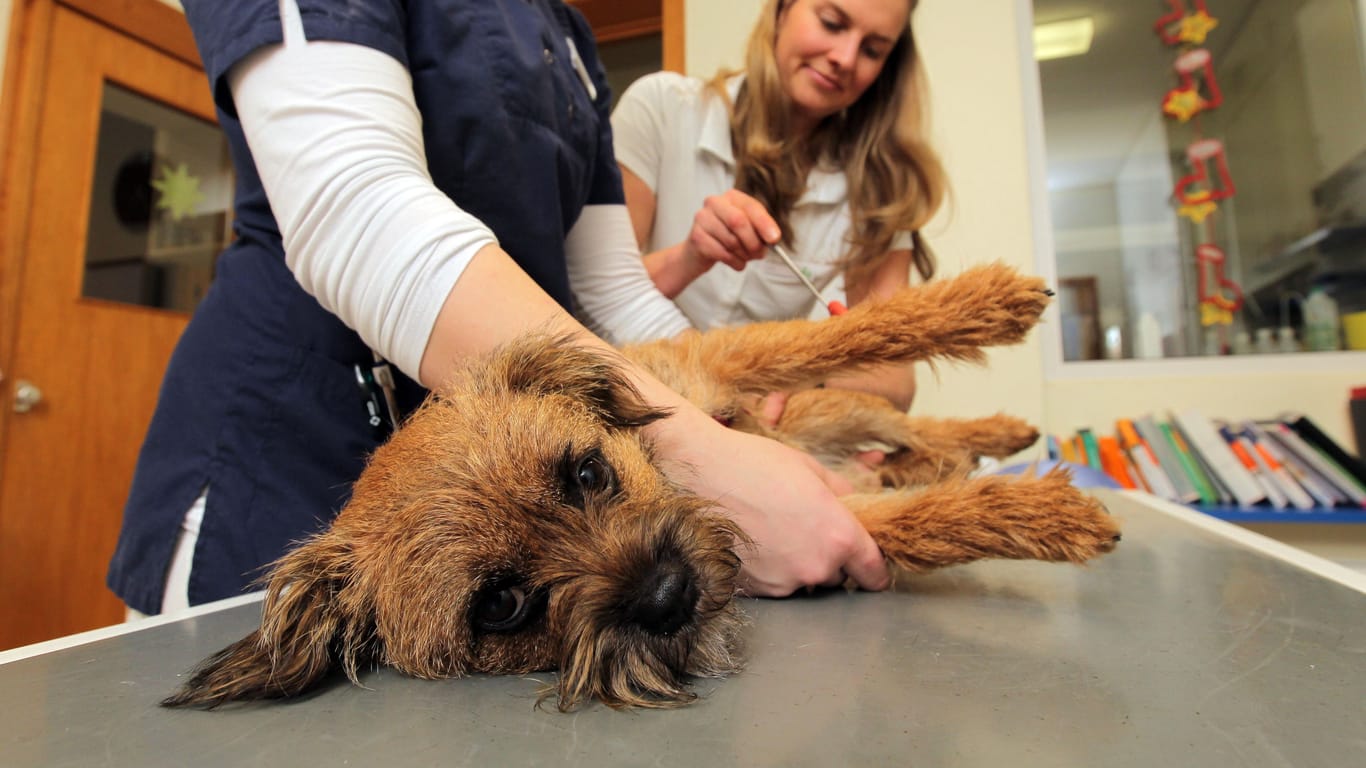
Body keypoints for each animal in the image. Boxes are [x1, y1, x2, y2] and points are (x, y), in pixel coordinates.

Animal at [159, 265, 1120, 710]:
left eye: (586, 471)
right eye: (500, 607)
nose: (667, 594)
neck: (679, 468)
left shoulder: (723, 359)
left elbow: (846, 331)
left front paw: (986, 301)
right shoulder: (834, 524)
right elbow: (927, 517)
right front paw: (1047, 510)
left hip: (832, 409)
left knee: (912, 429)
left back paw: (997, 430)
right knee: (915, 460)